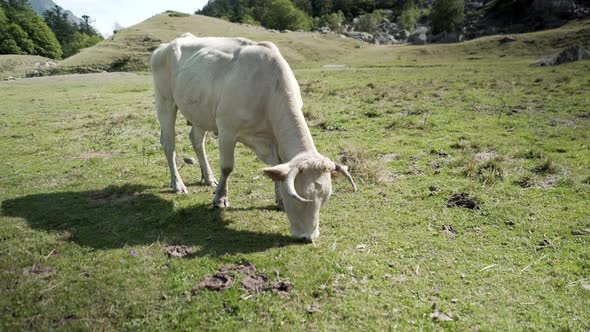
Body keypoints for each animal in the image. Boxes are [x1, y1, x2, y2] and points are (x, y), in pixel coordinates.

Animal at [151, 33, 356, 241]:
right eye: (298, 198)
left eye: (324, 199)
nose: (308, 237)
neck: (268, 89)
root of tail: (168, 44)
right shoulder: (226, 129)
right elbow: (227, 167)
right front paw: (220, 199)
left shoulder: (273, 139)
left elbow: (276, 168)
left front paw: (279, 200)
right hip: (165, 101)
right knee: (169, 144)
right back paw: (178, 184)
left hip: (200, 112)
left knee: (197, 140)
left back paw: (208, 178)